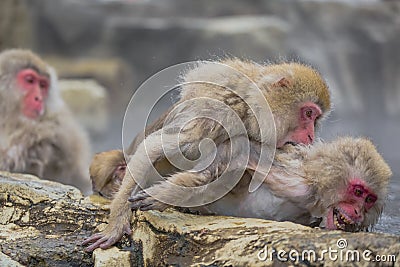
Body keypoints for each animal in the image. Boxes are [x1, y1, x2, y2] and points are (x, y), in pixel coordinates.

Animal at [82, 57, 332, 252]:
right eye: (308, 113)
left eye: (315, 119)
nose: (311, 136)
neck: (249, 108)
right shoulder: (217, 113)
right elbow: (154, 148)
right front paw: (117, 223)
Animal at [130, 137, 390, 233]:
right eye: (357, 191)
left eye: (369, 199)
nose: (357, 211)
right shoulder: (297, 183)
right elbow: (239, 151)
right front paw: (162, 196)